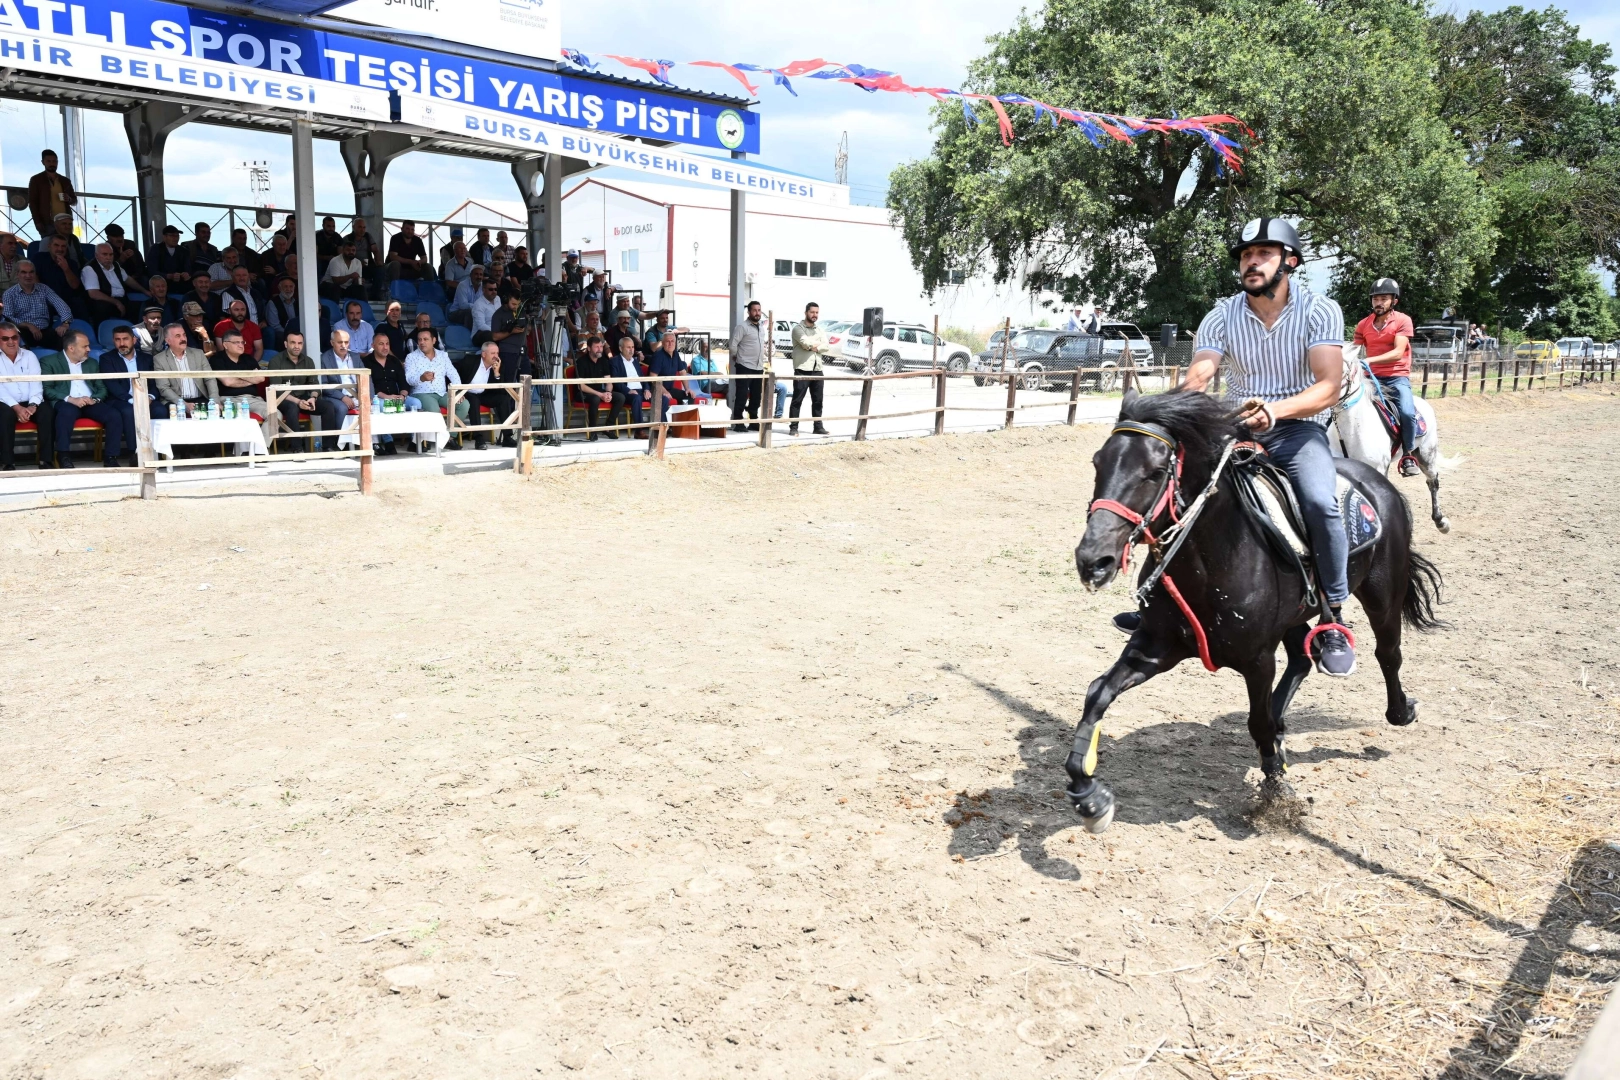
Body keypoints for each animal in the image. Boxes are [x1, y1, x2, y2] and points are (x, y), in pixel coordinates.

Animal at [1069, 390, 1438, 835]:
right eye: (1097, 462)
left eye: (1155, 472)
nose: (1094, 560)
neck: (1215, 558)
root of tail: (1378, 483)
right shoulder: (1155, 647)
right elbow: (1097, 692)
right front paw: (1089, 797)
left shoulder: (1257, 659)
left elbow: (1256, 722)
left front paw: (1277, 794)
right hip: (1297, 616)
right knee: (1302, 660)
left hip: (1382, 594)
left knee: (1387, 653)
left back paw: (1398, 709)